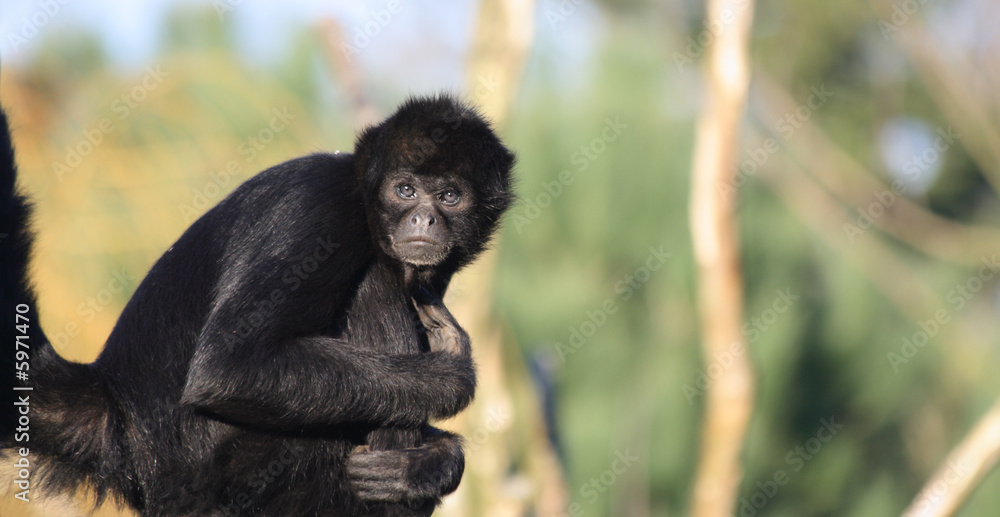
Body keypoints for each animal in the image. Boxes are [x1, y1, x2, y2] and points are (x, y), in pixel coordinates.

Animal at [0, 93, 515, 516]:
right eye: (405, 190)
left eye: (449, 196)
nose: (424, 218)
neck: (361, 197)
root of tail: (116, 411)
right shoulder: (319, 210)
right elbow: (230, 368)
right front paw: (450, 378)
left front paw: (434, 463)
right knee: (375, 281)